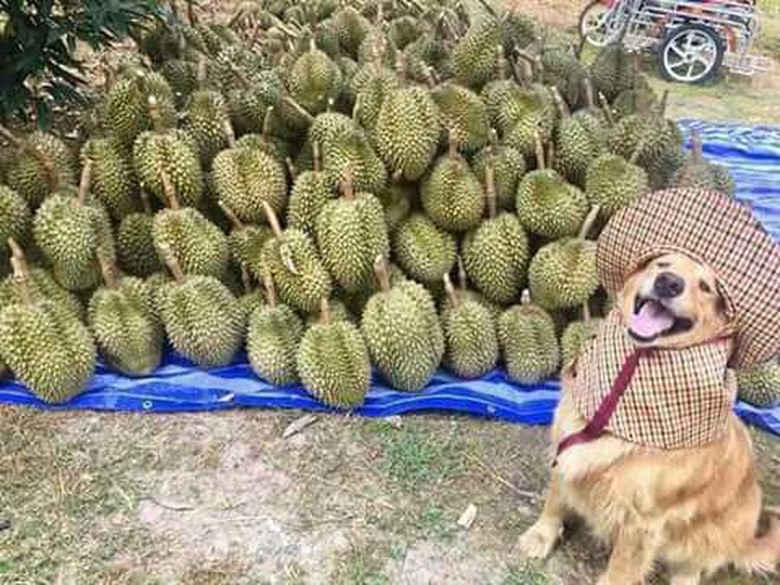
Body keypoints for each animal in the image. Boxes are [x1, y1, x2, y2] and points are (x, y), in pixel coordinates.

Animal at [516, 252, 780, 584]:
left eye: (706, 287)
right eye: (662, 264)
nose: (668, 283)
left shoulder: (642, 520)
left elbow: (622, 569)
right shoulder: (563, 452)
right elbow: (554, 501)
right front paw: (541, 535)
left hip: (716, 532)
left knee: (693, 569)